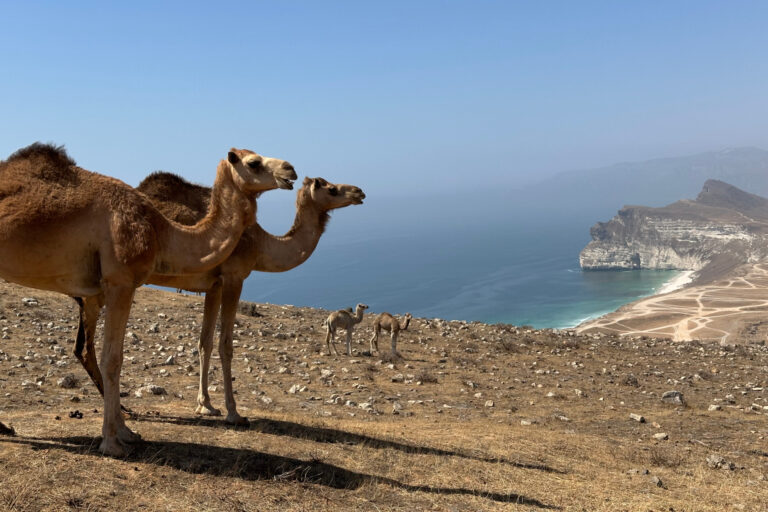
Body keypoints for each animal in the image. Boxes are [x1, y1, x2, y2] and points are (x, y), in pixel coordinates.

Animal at [0, 143, 296, 456]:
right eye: (253, 163)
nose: (291, 170)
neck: (159, 229)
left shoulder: (125, 284)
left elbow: (116, 357)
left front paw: (127, 432)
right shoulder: (119, 280)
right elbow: (112, 359)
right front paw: (111, 443)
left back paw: (5, 428)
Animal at [73, 176, 365, 425]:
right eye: (331, 189)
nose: (359, 192)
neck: (260, 244)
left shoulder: (213, 285)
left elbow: (205, 342)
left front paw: (206, 405)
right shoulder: (235, 276)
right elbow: (226, 344)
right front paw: (233, 412)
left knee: (82, 347)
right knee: (86, 347)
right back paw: (121, 410)